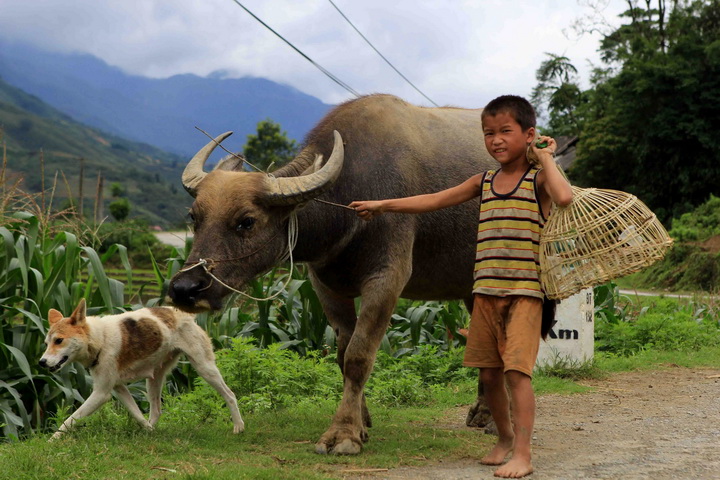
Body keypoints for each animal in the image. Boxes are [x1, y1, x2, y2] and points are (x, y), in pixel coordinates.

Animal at [39, 298, 245, 440]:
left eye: (59, 340)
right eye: (47, 343)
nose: (41, 362)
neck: (100, 339)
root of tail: (181, 314)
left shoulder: (101, 393)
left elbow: (70, 419)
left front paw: (51, 441)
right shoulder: (118, 388)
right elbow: (137, 414)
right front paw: (149, 432)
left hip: (205, 369)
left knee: (230, 395)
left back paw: (239, 426)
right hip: (153, 380)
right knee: (156, 411)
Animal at [167, 93, 498, 454]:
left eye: (247, 221)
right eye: (194, 217)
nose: (185, 288)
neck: (350, 191)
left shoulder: (388, 278)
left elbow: (358, 356)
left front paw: (344, 434)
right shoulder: (326, 286)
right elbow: (341, 355)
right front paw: (362, 423)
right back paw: (483, 412)